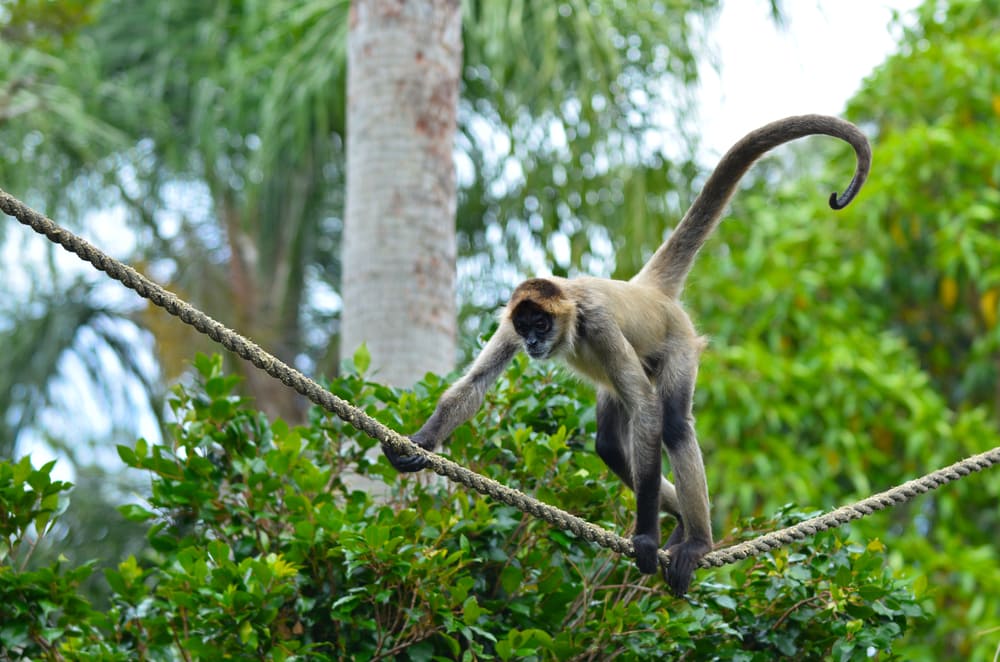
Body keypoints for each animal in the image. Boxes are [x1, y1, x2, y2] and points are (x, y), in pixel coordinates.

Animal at [383, 115, 871, 596]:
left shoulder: (597, 322)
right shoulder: (509, 320)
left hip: (678, 345)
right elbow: (474, 385)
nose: (534, 344)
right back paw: (679, 523)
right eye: (526, 328)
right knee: (611, 446)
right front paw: (419, 444)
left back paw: (696, 540)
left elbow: (648, 409)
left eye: (542, 326)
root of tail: (647, 290)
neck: (572, 311)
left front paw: (646, 539)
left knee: (670, 424)